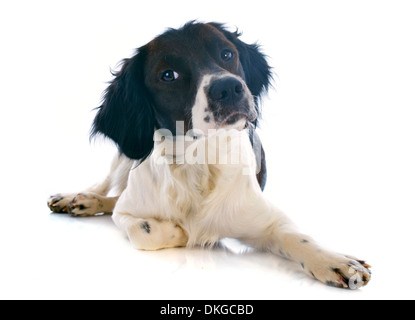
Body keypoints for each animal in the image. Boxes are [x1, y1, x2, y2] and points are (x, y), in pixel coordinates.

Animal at [47, 21, 372, 288]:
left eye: (227, 54)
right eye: (168, 75)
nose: (229, 87)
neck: (198, 163)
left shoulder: (266, 220)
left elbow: (298, 237)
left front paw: (336, 261)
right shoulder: (127, 213)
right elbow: (145, 231)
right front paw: (178, 232)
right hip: (127, 155)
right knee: (105, 186)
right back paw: (77, 198)